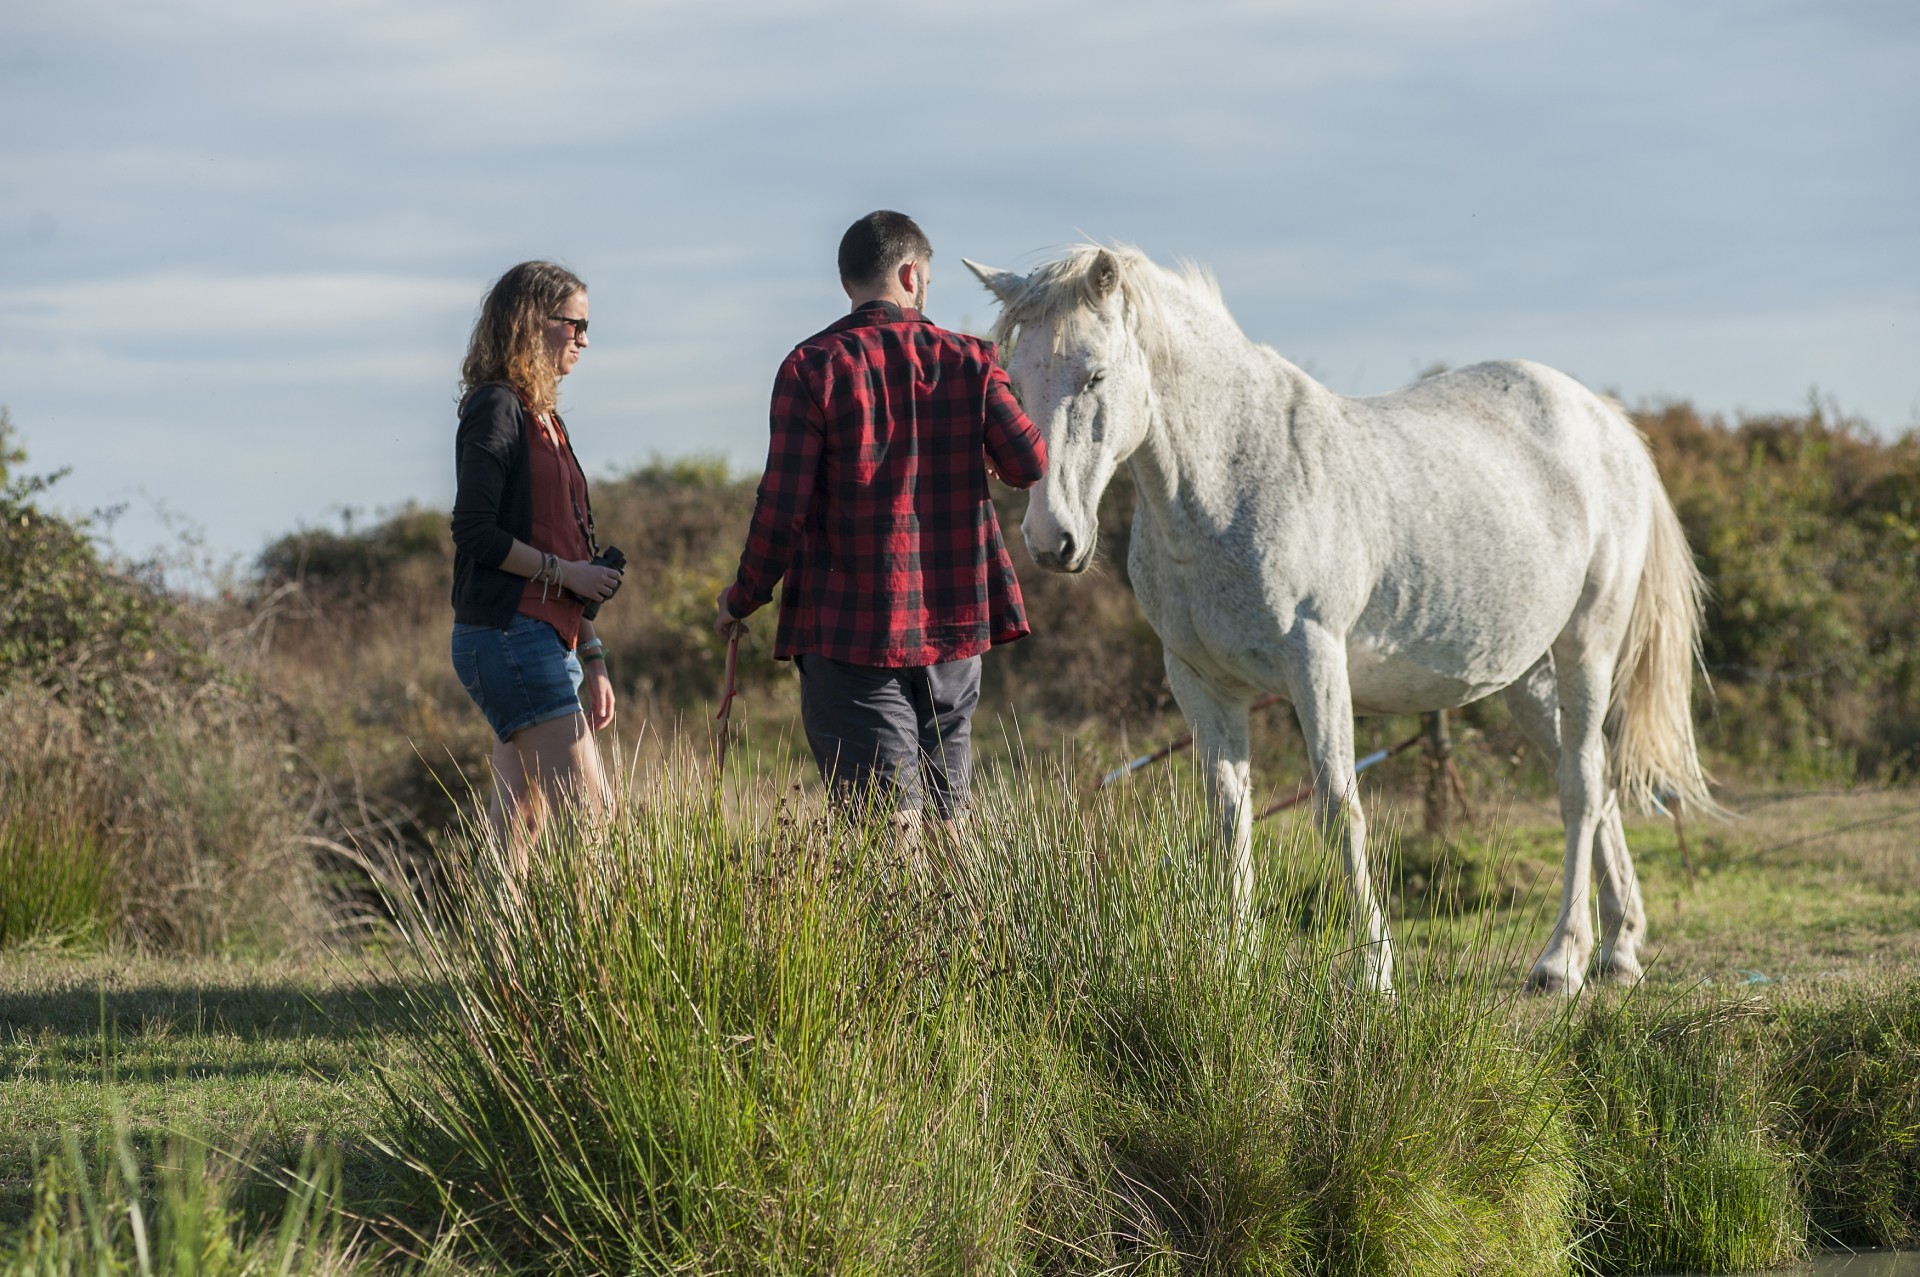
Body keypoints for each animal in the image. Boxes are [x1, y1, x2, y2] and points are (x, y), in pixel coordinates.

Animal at [967, 243, 1720, 990]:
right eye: (1015, 381)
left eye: (1095, 373)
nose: (1051, 539)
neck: (1232, 478)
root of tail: (1606, 422)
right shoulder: (1201, 682)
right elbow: (1229, 817)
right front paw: (1234, 961)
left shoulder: (1315, 662)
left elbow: (1337, 808)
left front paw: (1375, 969)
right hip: (1527, 677)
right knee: (1595, 779)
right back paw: (1619, 946)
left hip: (1587, 644)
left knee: (1582, 785)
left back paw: (1562, 958)